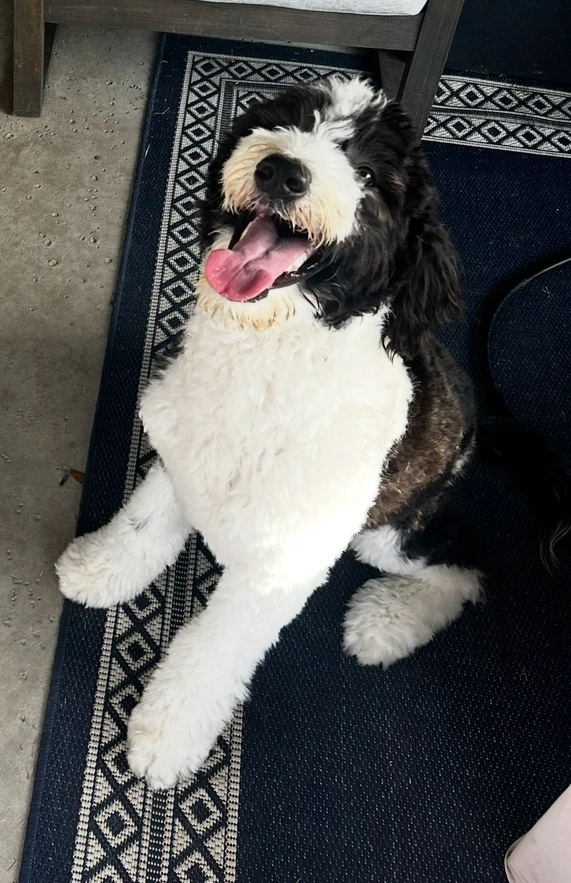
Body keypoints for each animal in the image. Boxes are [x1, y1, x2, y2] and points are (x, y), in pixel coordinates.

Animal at [57, 76, 483, 790]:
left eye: (372, 175)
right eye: (286, 118)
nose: (283, 171)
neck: (263, 362)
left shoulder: (281, 568)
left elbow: (213, 652)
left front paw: (165, 737)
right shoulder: (179, 453)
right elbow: (141, 525)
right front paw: (101, 568)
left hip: (391, 528)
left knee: (465, 567)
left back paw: (386, 622)